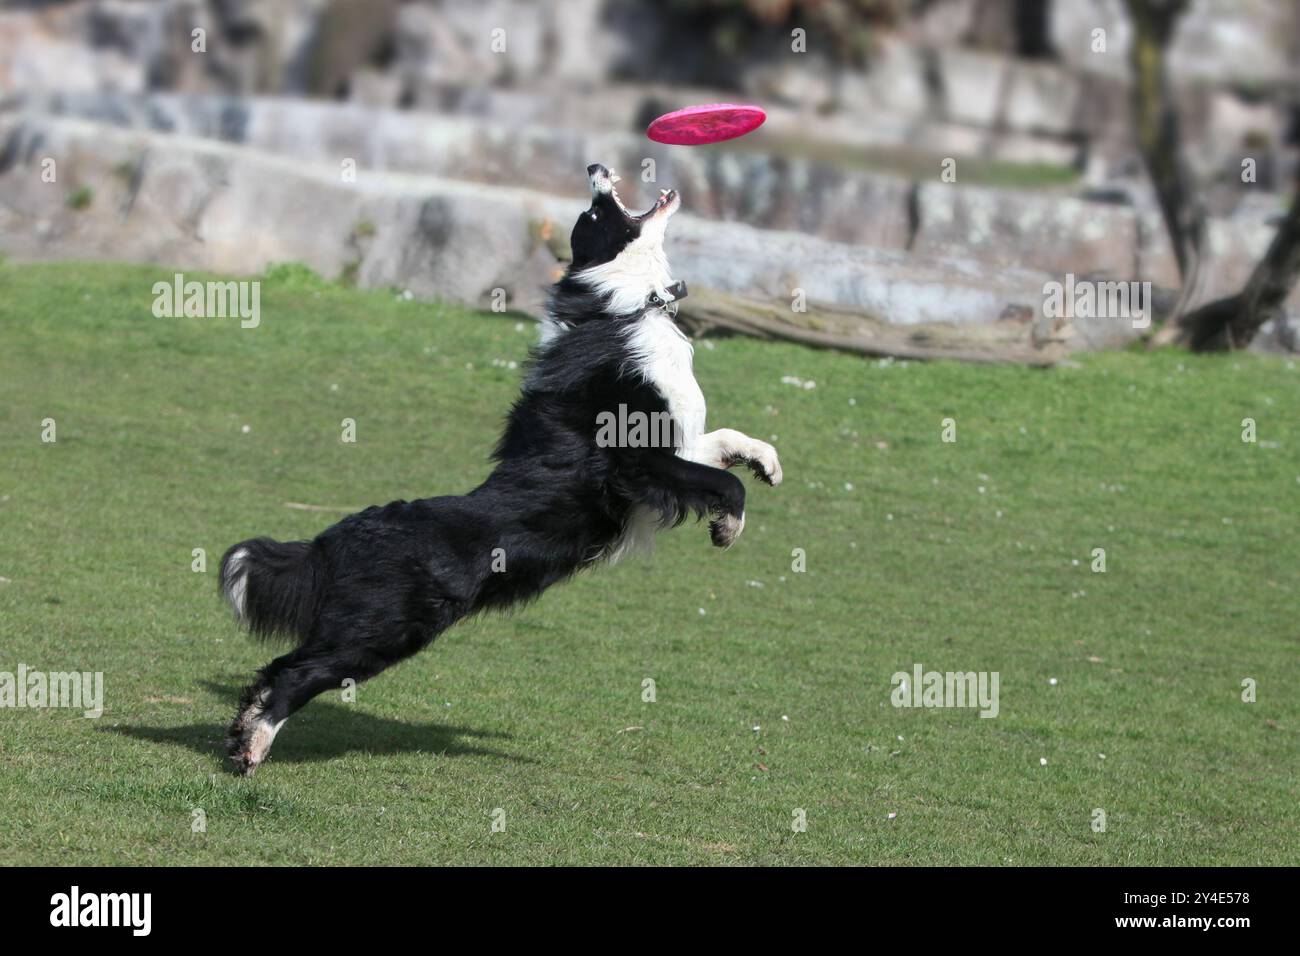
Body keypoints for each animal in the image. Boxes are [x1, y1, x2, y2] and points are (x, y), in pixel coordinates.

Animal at [220, 162, 780, 780]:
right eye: (593, 213)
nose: (595, 168)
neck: (626, 305)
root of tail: (332, 536)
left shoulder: (672, 448)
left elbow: (724, 441)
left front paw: (767, 462)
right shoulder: (634, 463)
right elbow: (722, 482)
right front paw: (729, 526)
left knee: (277, 668)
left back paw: (241, 737)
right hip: (384, 629)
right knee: (293, 674)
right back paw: (252, 748)